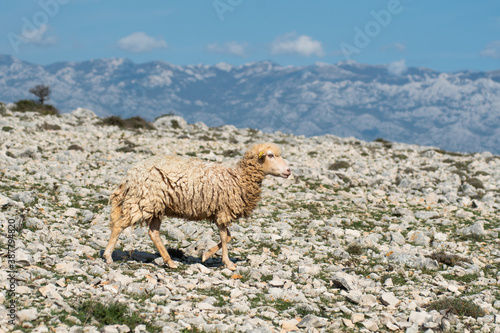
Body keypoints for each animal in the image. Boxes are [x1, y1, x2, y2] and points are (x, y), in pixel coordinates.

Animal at [102, 142, 290, 270]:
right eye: (271, 155)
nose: (288, 171)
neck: (238, 177)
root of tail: (130, 175)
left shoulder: (220, 212)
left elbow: (228, 237)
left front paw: (206, 255)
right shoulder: (223, 210)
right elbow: (225, 237)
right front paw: (228, 263)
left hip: (155, 206)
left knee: (153, 233)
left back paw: (170, 261)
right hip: (144, 201)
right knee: (119, 225)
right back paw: (108, 256)